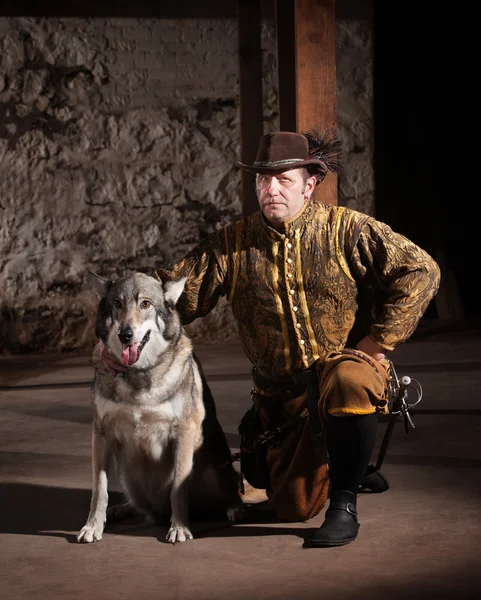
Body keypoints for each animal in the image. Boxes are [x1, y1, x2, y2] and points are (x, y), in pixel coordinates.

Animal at [78, 272, 246, 544]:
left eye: (145, 304)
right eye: (117, 304)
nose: (126, 334)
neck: (138, 375)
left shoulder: (183, 432)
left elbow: (178, 488)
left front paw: (179, 528)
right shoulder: (100, 433)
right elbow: (99, 490)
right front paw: (93, 527)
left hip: (217, 462)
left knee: (231, 490)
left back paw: (235, 509)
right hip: (127, 474)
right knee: (136, 504)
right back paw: (120, 510)